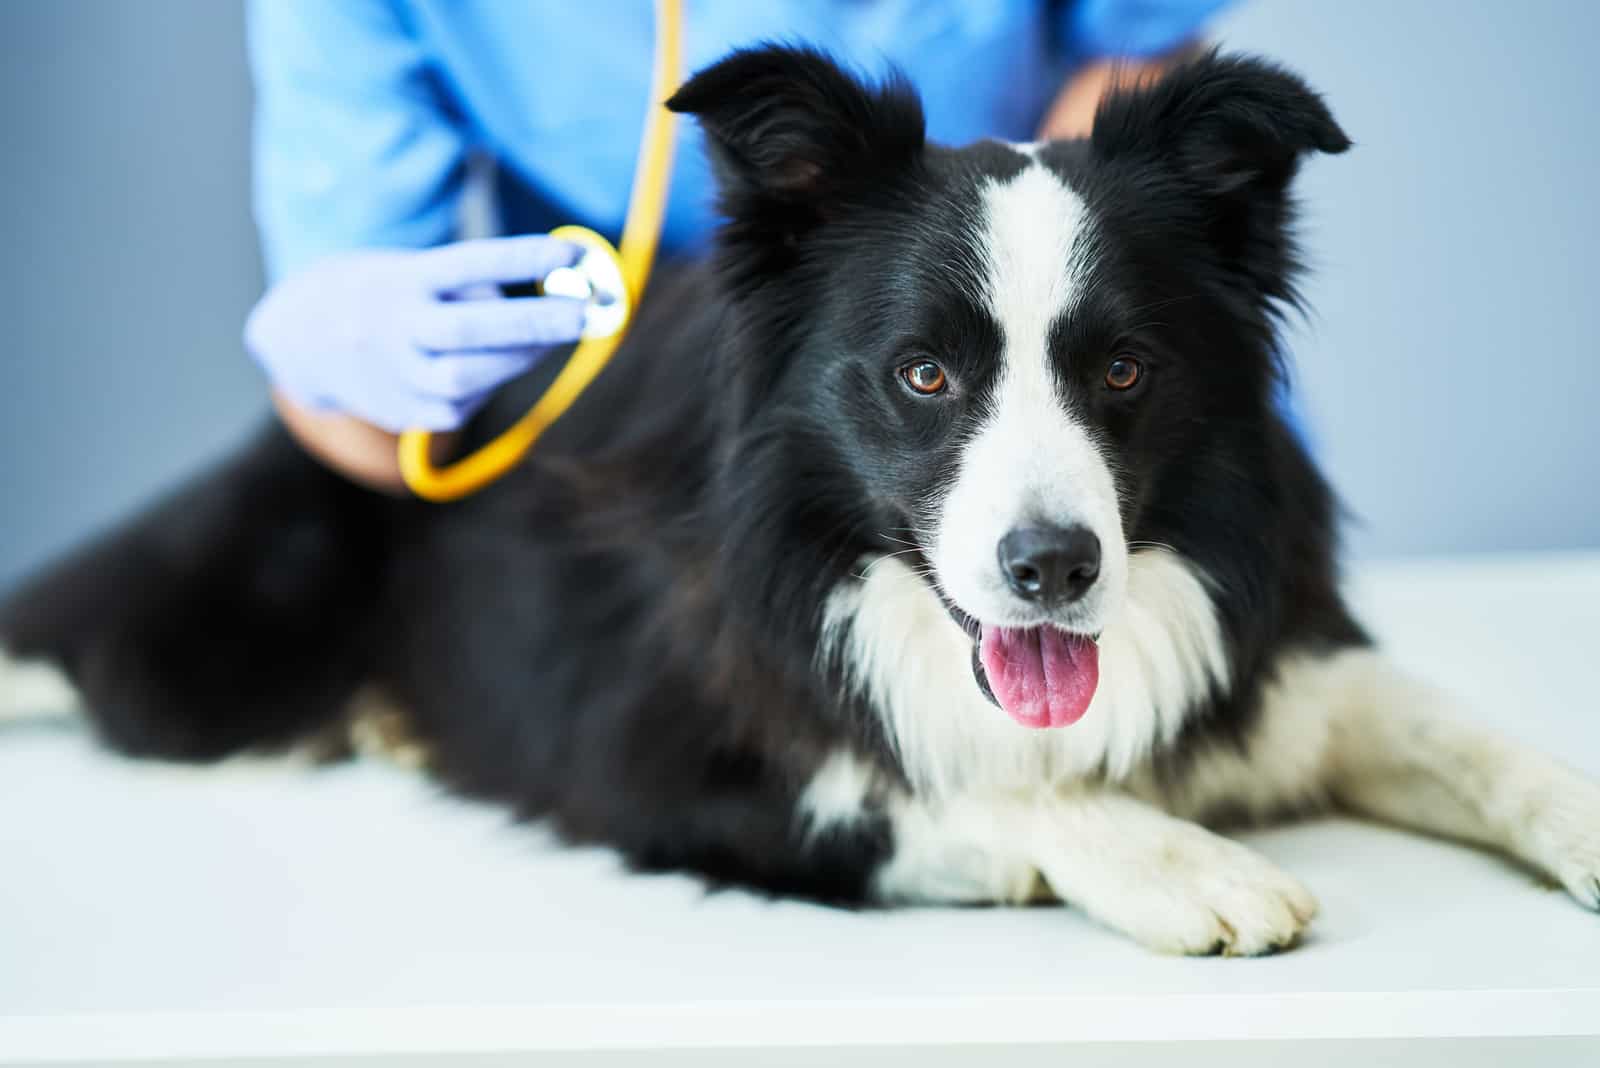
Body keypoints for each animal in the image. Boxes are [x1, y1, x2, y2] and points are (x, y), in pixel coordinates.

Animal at [3, 45, 1600, 952]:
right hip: (219, 638)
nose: (1053, 569)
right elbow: (936, 778)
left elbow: (1469, 740)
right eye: (924, 375)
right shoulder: (646, 749)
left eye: (1125, 368)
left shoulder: (1285, 655)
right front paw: (1170, 859)